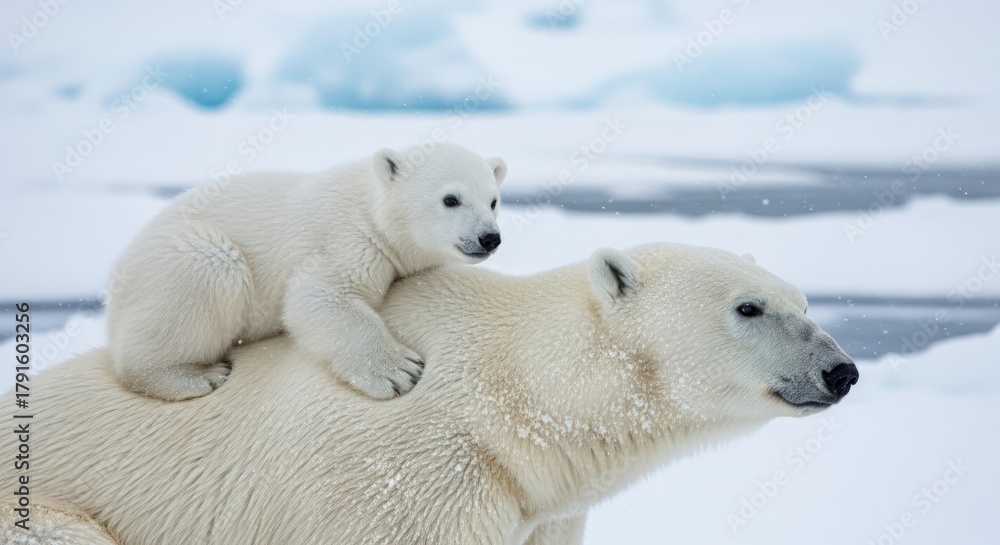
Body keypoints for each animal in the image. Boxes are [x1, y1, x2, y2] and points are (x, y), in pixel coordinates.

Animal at [105, 143, 507, 401]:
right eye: (451, 199)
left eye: (493, 201)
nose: (489, 238)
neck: (371, 207)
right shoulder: (345, 239)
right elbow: (318, 296)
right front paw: (398, 371)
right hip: (183, 259)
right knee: (208, 272)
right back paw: (197, 376)